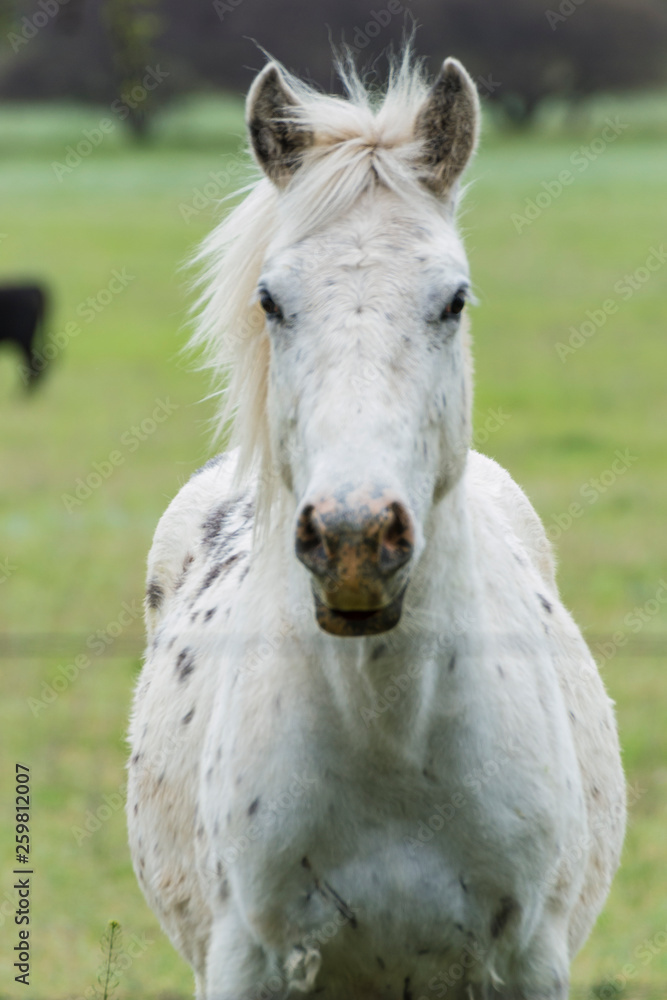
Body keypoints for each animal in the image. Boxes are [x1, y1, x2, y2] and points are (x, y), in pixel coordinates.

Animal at [127, 52, 625, 1000]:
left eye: (453, 300)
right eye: (271, 301)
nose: (354, 539)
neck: (390, 745)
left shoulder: (529, 964)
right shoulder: (244, 964)